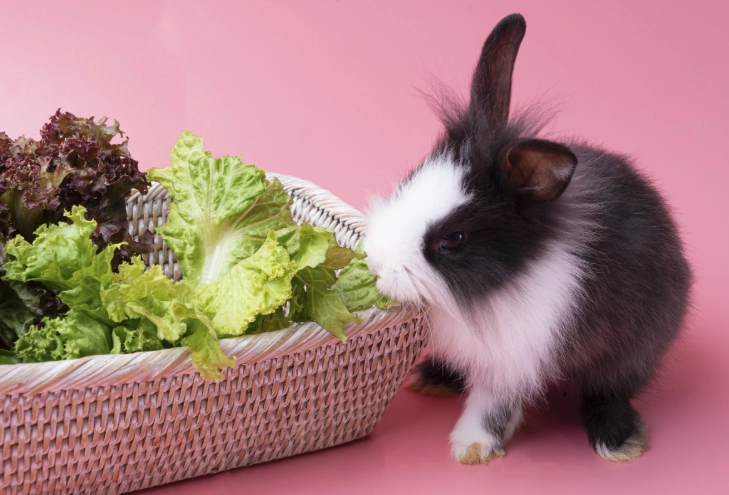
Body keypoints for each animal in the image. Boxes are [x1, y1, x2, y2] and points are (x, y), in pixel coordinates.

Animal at [362, 13, 692, 464]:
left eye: (454, 239)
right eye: (408, 181)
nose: (375, 263)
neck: (495, 287)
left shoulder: (514, 357)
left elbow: (493, 405)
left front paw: (471, 449)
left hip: (636, 349)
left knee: (610, 391)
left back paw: (617, 441)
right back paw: (433, 378)